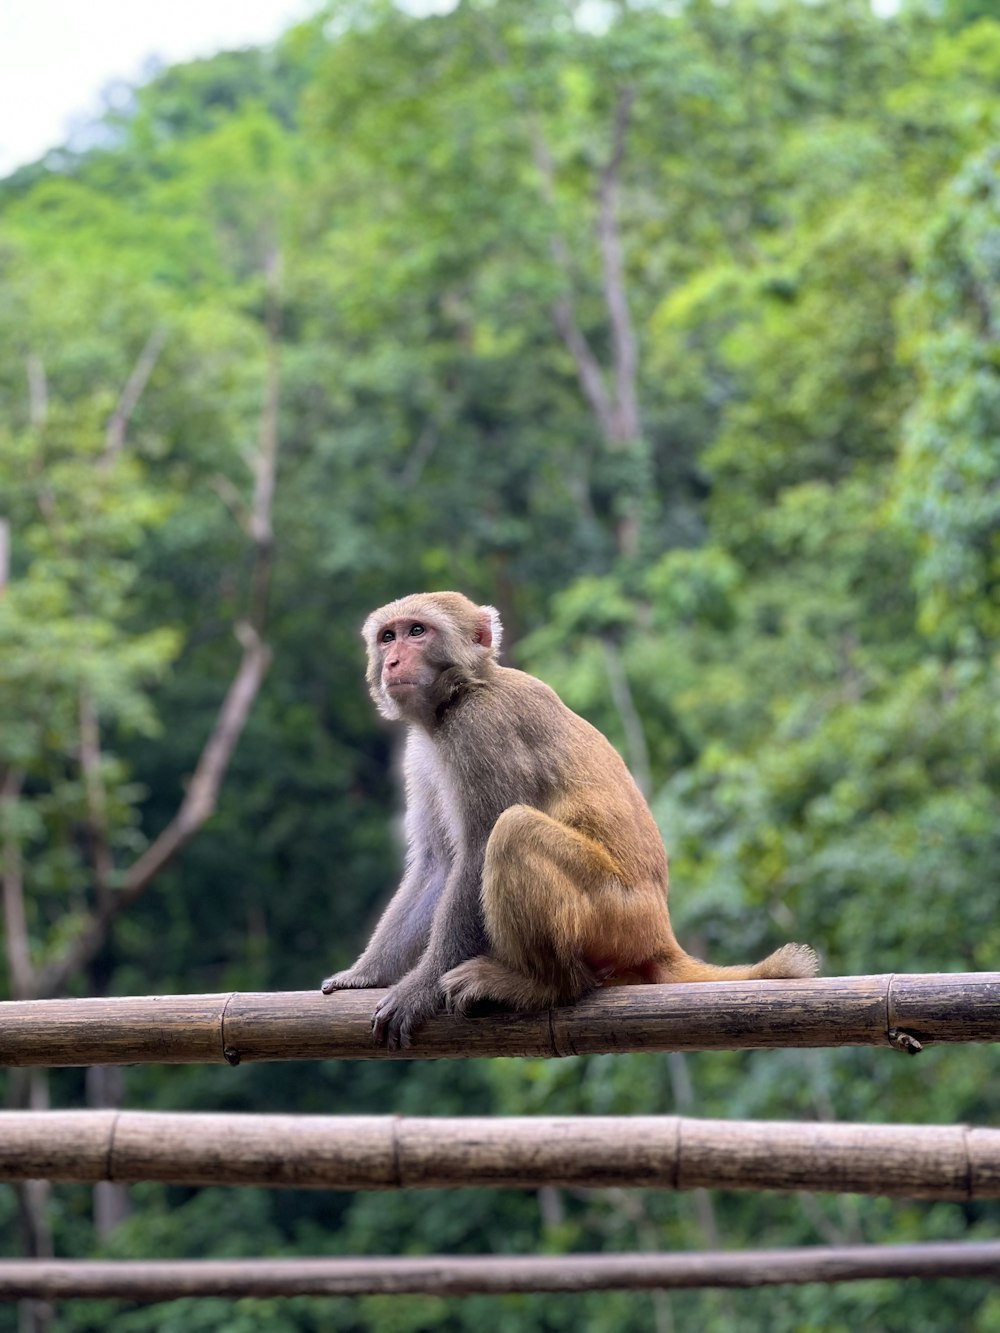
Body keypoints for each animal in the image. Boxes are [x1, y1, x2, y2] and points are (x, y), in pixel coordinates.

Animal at [322, 594, 821, 1050]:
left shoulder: (479, 730)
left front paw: (418, 990)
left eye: (417, 631)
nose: (393, 660)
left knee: (513, 831)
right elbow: (438, 866)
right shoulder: (422, 753)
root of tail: (660, 932)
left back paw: (544, 986)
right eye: (388, 636)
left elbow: (476, 851)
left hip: (610, 915)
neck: (461, 691)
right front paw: (365, 976)